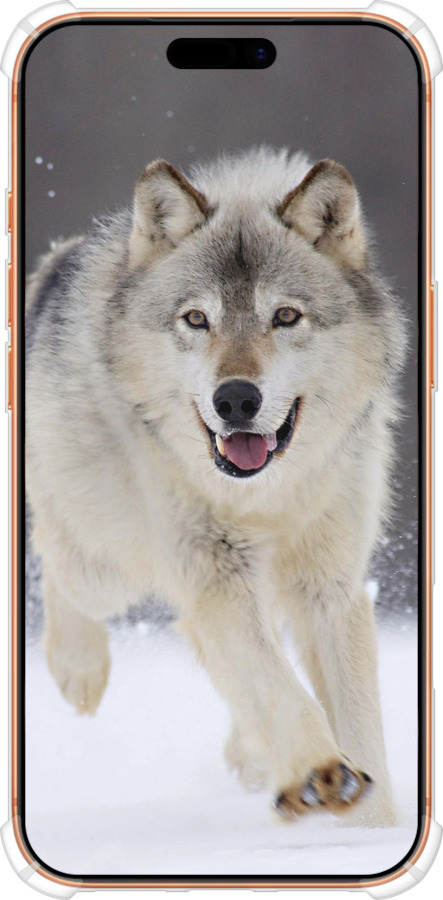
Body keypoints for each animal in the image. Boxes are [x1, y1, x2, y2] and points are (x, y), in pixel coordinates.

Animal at [26, 147, 405, 826]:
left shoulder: (329, 586)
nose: (235, 399)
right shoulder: (214, 574)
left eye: (285, 316)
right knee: (55, 555)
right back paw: (79, 671)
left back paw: (252, 757)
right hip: (108, 565)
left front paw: (374, 828)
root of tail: (57, 260)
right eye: (197, 319)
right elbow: (277, 688)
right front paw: (320, 773)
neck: (266, 497)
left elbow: (358, 721)